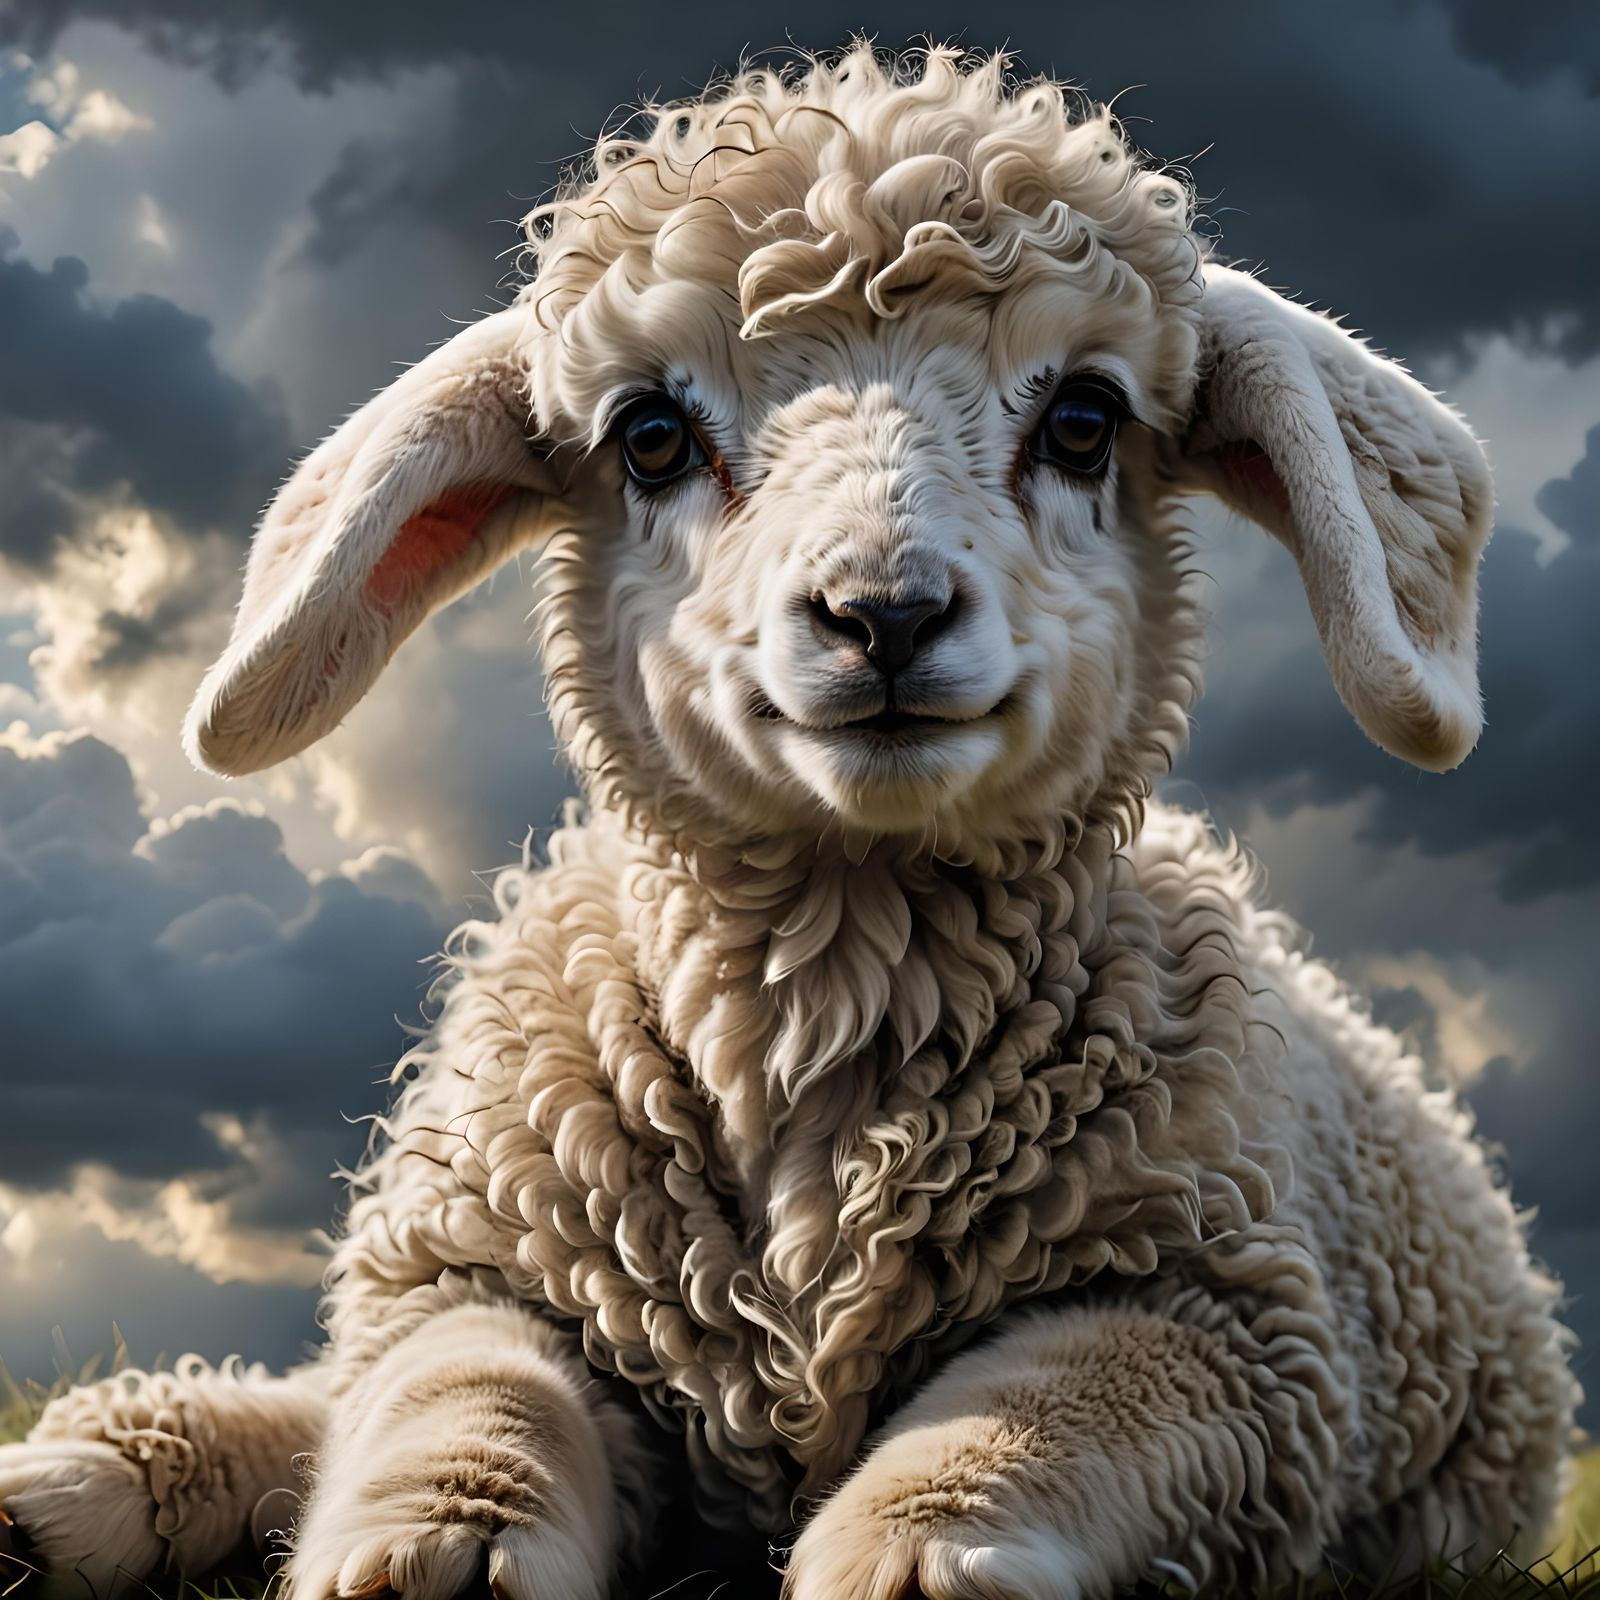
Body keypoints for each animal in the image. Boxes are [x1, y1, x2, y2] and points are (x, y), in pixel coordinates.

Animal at [0, 43, 1576, 1600]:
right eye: (649, 437)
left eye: (1083, 422)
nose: (884, 615)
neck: (838, 957)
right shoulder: (488, 1257)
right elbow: (465, 1394)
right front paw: (439, 1542)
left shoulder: (1226, 1315)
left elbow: (1040, 1418)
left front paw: (916, 1552)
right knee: (326, 1402)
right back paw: (77, 1478)